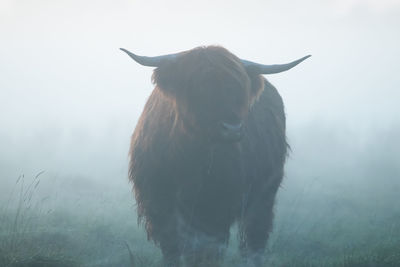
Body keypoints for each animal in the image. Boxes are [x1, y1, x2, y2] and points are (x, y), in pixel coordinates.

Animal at [122, 45, 310, 266]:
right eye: (199, 87)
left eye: (239, 89)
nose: (232, 129)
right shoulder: (158, 204)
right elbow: (172, 248)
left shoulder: (215, 207)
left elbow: (204, 249)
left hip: (264, 194)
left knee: (255, 237)